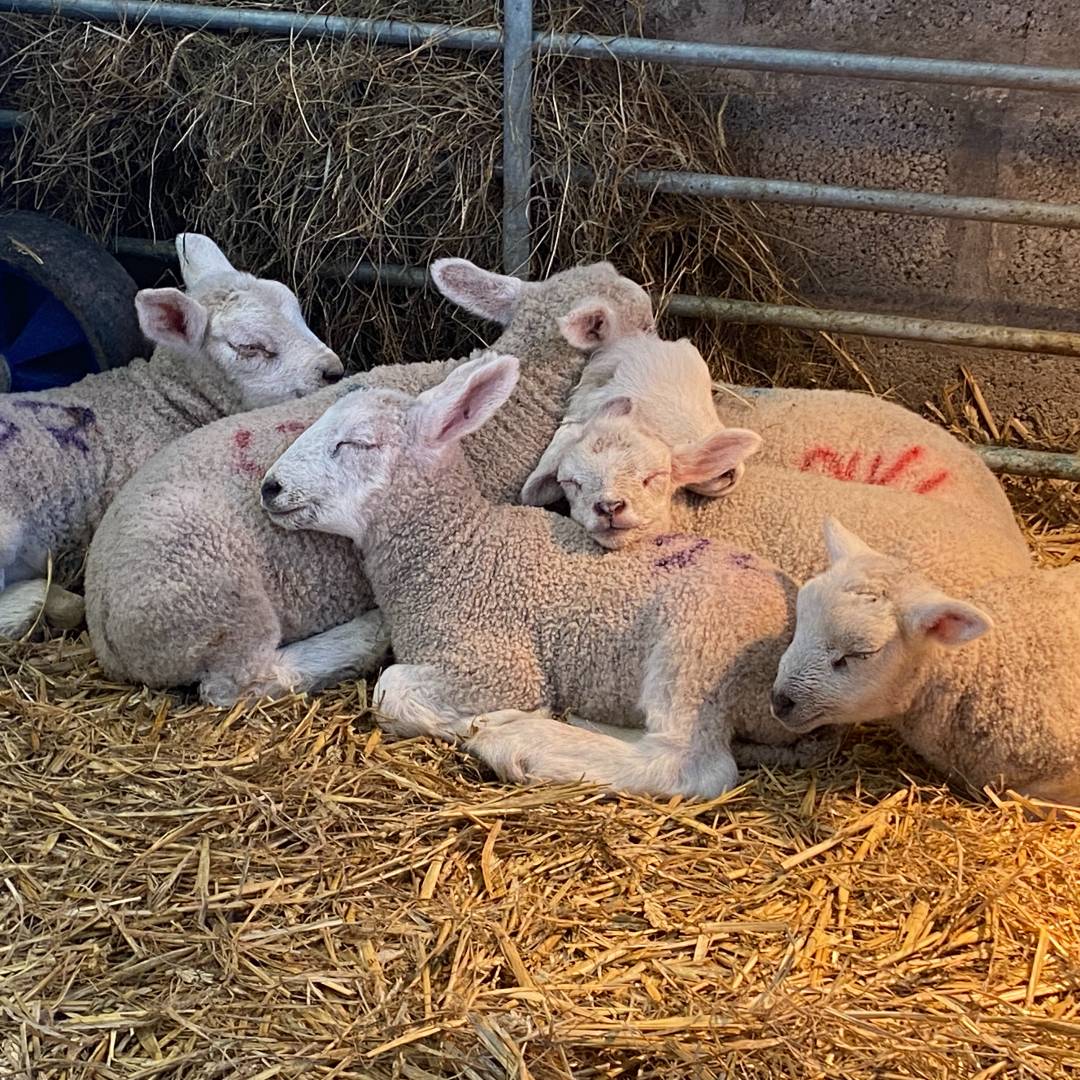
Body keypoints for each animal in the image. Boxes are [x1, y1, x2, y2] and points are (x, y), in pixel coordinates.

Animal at [84, 258, 657, 704]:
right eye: (649, 324)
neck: (516, 404)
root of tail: (101, 617)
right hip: (216, 601)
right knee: (239, 683)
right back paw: (360, 639)